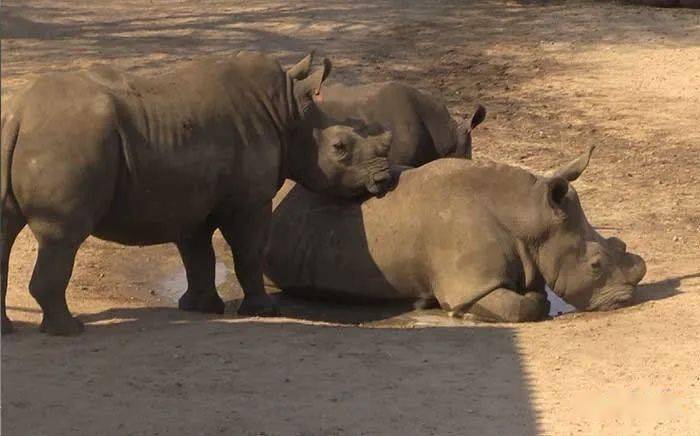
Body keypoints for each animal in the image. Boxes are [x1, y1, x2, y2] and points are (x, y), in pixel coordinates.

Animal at [0, 52, 394, 338]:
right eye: (340, 148)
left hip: (38, 134)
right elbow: (249, 251)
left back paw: (9, 332)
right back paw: (68, 331)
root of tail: (19, 113)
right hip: (66, 139)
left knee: (9, 231)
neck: (288, 114)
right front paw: (263, 310)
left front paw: (201, 307)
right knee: (64, 237)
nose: (385, 179)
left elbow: (197, 255)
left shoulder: (191, 201)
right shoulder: (249, 202)